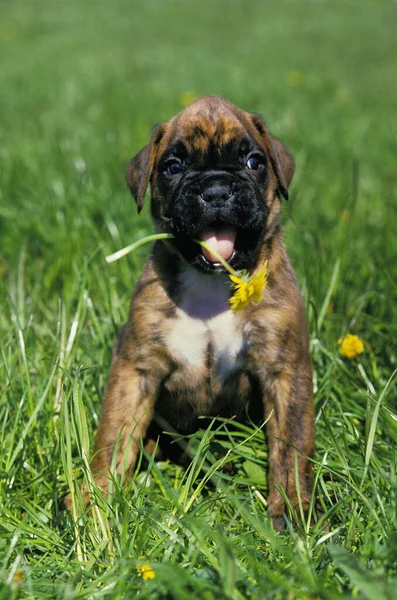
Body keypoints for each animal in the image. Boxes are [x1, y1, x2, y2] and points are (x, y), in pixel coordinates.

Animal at [74, 95, 314, 528]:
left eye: (254, 161)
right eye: (173, 166)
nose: (217, 190)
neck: (212, 282)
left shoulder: (285, 371)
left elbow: (290, 447)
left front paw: (291, 512)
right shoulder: (136, 369)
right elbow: (113, 436)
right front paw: (95, 500)